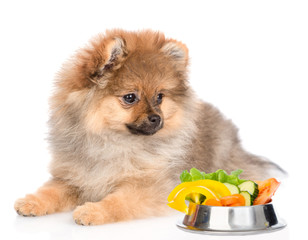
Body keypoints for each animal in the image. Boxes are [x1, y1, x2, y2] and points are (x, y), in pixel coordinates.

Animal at [14, 29, 284, 225]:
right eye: (130, 97)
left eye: (160, 97)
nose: (157, 118)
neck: (113, 141)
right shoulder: (72, 176)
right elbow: (51, 192)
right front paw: (31, 202)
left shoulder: (150, 187)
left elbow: (118, 201)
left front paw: (92, 211)